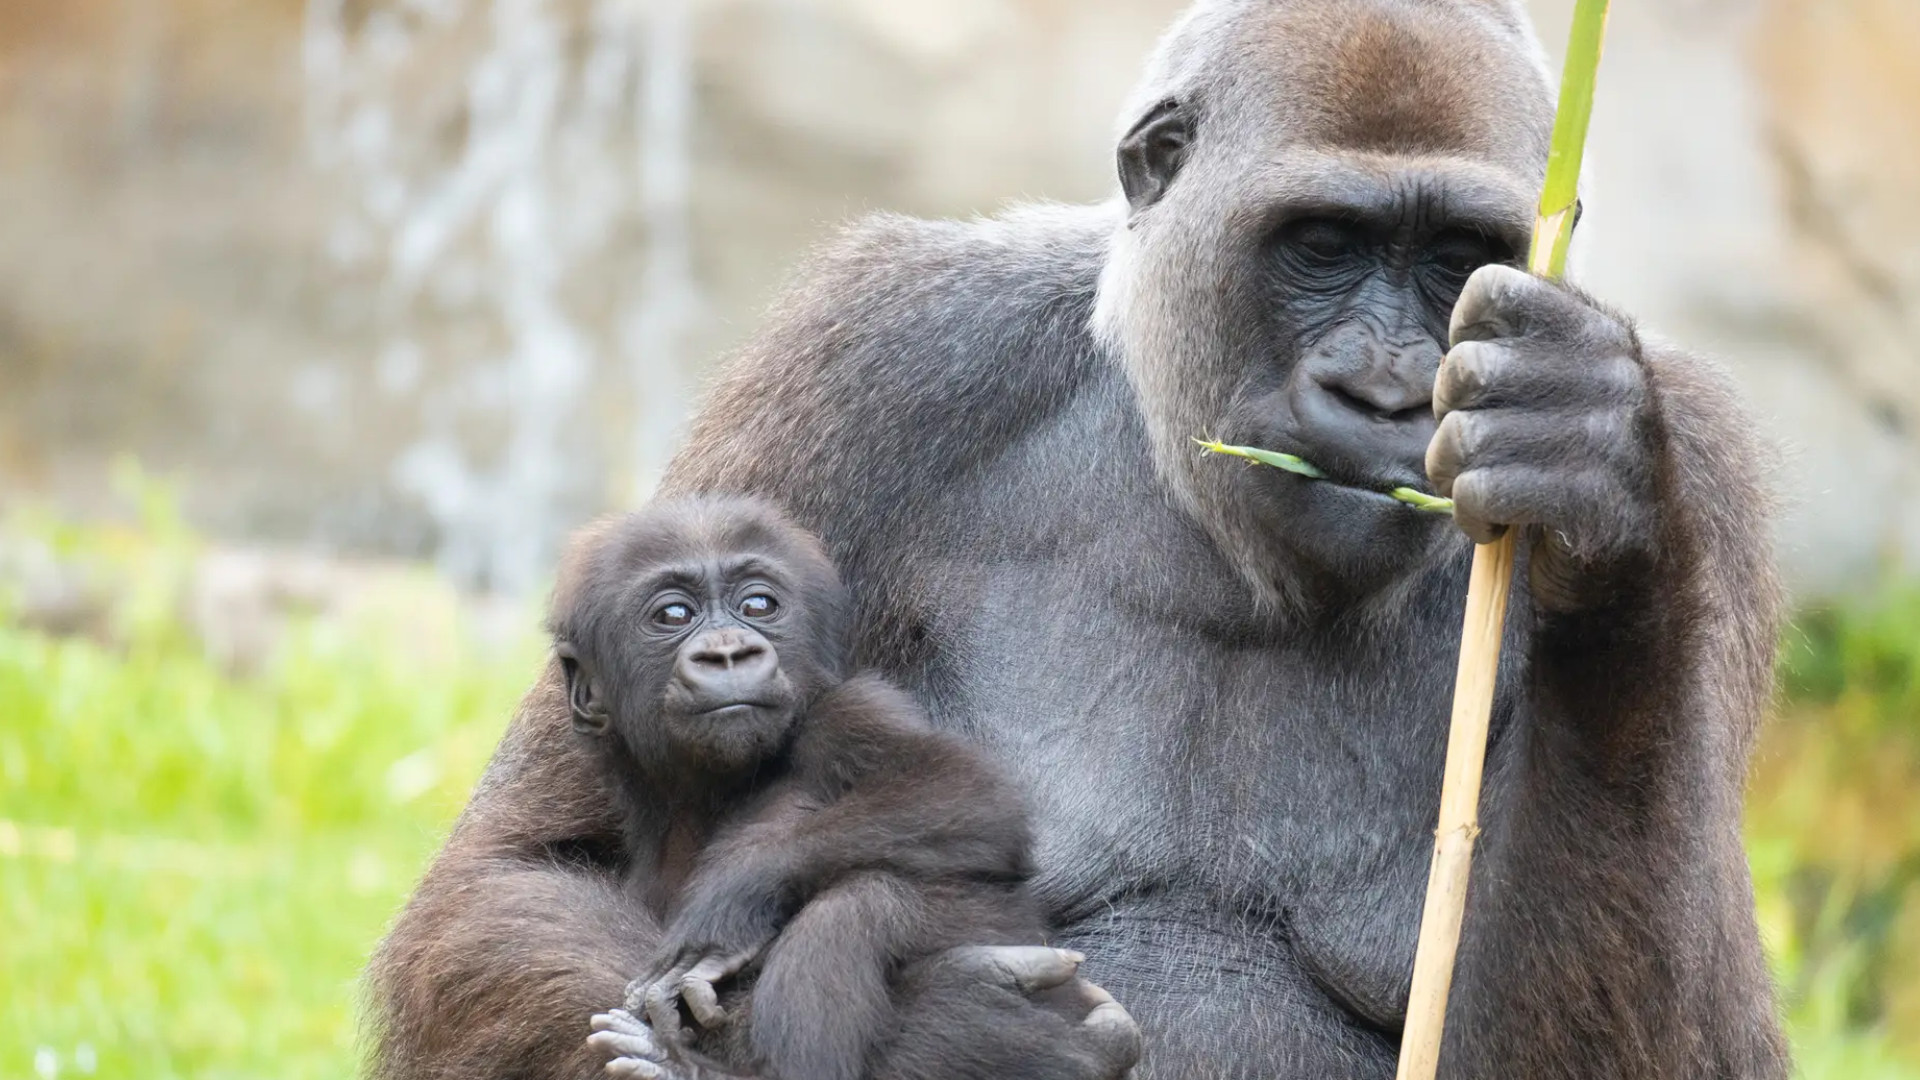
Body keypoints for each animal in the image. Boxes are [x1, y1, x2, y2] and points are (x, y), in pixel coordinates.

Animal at [549, 495, 1075, 1076]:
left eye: (759, 605)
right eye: (674, 615)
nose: (729, 653)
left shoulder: (848, 710)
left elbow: (969, 791)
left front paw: (728, 902)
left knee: (853, 911)